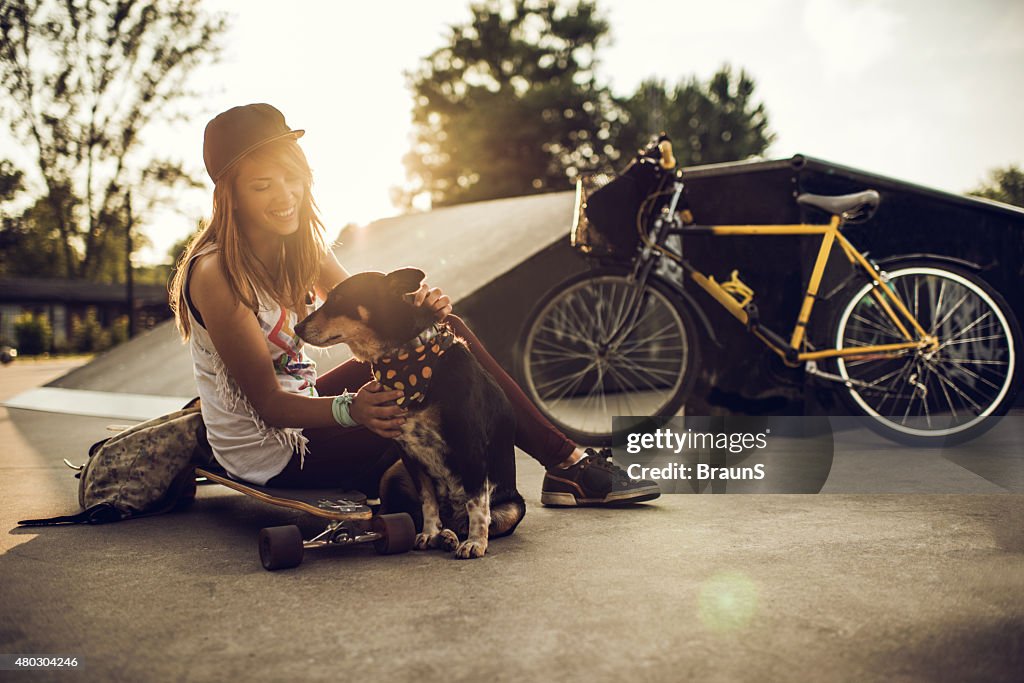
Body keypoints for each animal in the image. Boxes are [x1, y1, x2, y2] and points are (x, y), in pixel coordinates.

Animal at [294, 268, 520, 561]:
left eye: (339, 299)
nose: (297, 328)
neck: (406, 361)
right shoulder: (408, 452)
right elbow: (428, 501)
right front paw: (431, 533)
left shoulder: (471, 447)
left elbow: (478, 505)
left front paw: (475, 542)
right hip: (393, 473)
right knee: (404, 515)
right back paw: (443, 535)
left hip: (513, 508)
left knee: (477, 519)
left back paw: (456, 535)